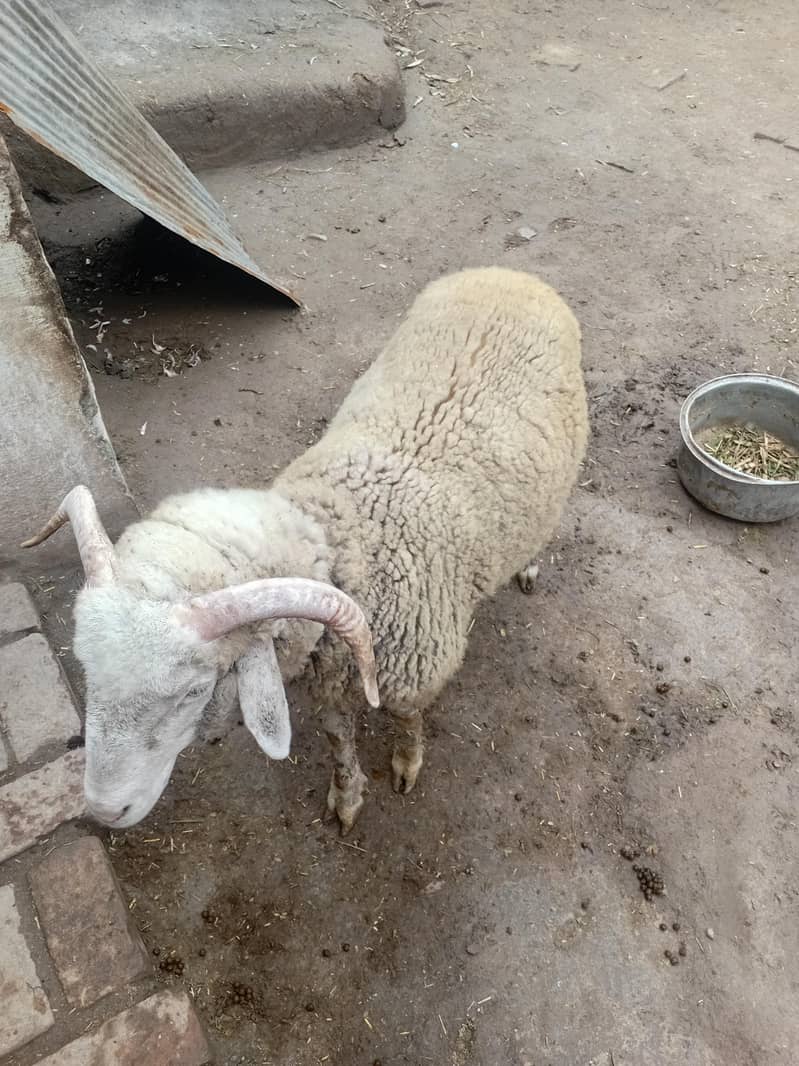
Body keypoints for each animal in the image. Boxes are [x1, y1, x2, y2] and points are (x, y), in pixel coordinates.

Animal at [22, 266, 588, 833]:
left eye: (193, 691)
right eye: (87, 670)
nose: (103, 810)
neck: (344, 534)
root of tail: (508, 274)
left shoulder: (414, 673)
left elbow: (407, 719)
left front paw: (406, 763)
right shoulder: (331, 675)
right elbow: (339, 737)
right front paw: (348, 796)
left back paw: (528, 567)